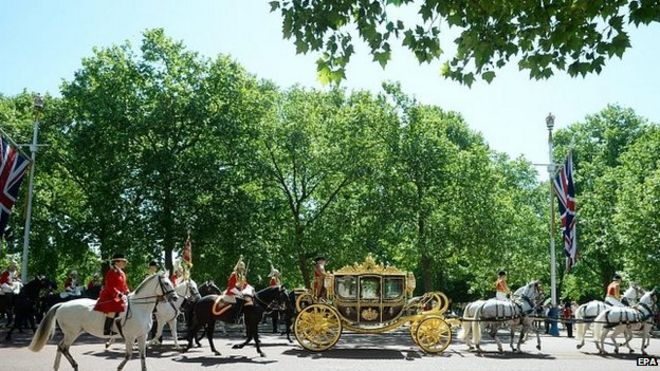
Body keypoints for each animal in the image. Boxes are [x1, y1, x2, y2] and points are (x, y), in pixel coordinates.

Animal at [29, 274, 177, 371]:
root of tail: (62, 305)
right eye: (166, 283)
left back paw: (57, 367)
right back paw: (75, 366)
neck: (140, 307)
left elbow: (142, 357)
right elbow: (128, 356)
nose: (175, 297)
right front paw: (118, 367)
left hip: (71, 333)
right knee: (64, 348)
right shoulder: (130, 337)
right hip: (72, 333)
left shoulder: (142, 336)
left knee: (60, 347)